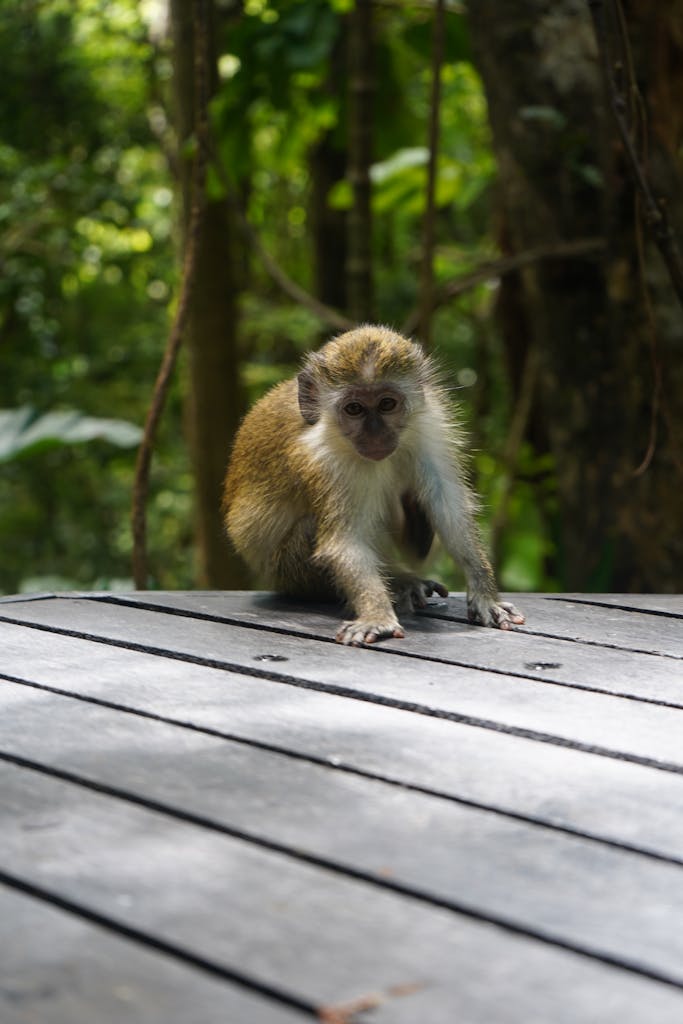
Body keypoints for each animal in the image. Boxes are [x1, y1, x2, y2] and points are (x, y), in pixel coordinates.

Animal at [223, 323, 524, 643]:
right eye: (354, 409)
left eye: (387, 404)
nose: (375, 434)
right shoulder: (327, 462)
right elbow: (345, 541)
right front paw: (377, 615)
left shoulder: (431, 427)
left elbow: (448, 509)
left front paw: (486, 595)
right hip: (289, 575)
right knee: (310, 530)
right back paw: (399, 580)